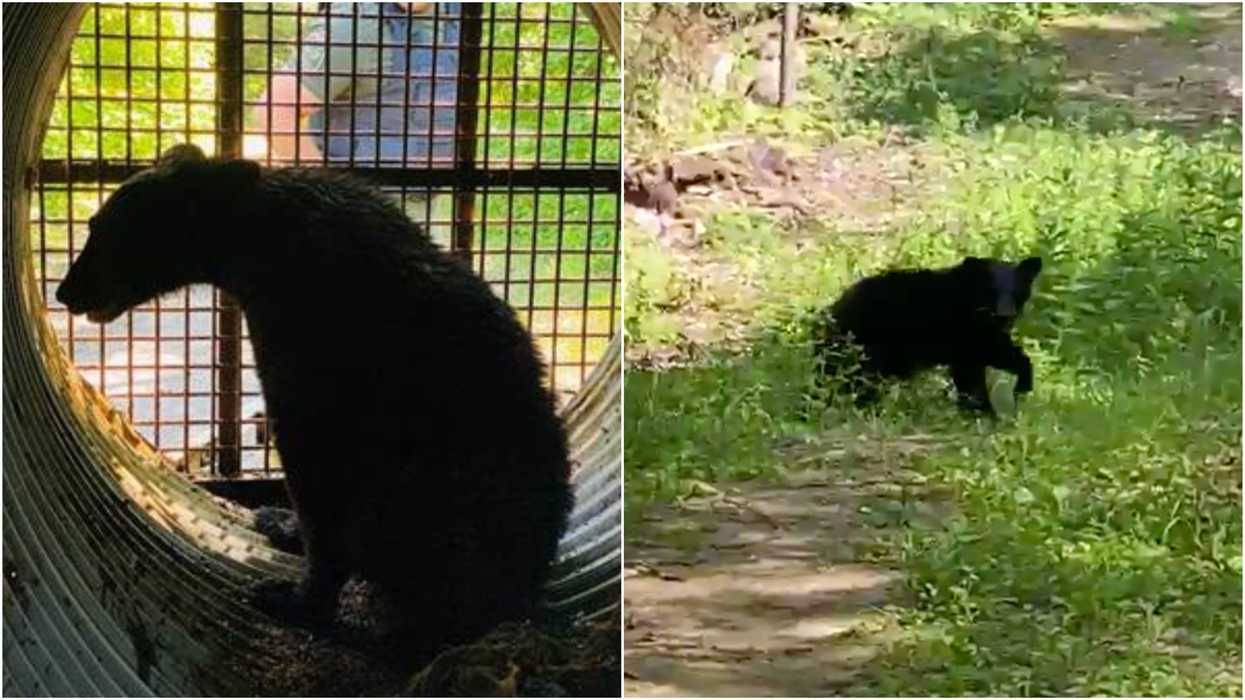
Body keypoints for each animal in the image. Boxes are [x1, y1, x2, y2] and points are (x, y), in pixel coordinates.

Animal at [56, 144, 574, 651]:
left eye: (112, 231)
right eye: (92, 224)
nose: (64, 291)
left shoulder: (307, 397)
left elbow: (322, 519)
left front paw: (300, 600)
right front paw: (284, 528)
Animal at [814, 255, 1042, 413]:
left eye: (1016, 291)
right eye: (992, 290)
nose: (1005, 315)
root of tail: (833, 311)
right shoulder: (967, 331)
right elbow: (980, 364)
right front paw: (987, 410)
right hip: (870, 345)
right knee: (860, 378)